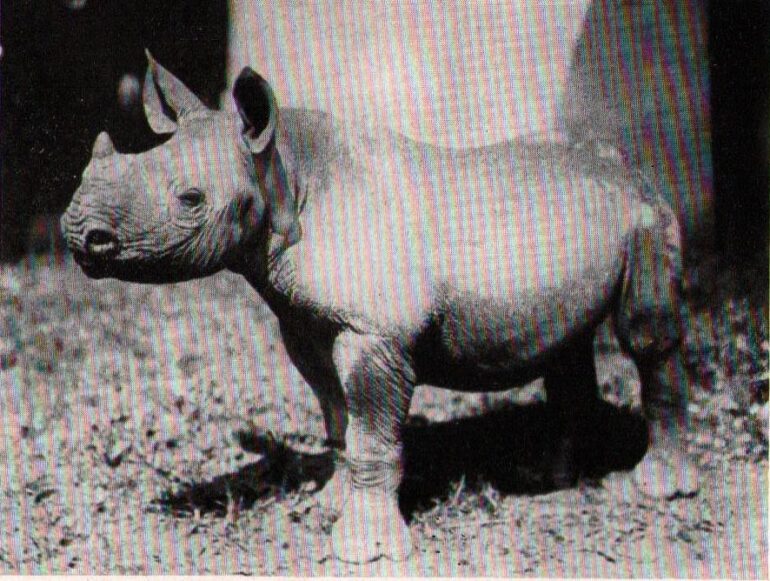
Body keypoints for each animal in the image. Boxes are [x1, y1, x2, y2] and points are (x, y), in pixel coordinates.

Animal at [61, 54, 699, 563]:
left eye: (191, 199)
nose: (77, 232)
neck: (285, 177)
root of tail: (627, 163)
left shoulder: (374, 331)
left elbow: (371, 435)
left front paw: (364, 548)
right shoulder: (308, 323)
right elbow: (339, 420)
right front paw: (328, 506)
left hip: (646, 214)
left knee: (646, 336)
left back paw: (656, 486)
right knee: (564, 341)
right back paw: (546, 477)